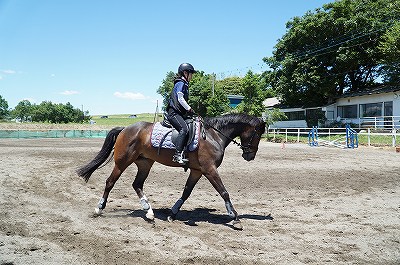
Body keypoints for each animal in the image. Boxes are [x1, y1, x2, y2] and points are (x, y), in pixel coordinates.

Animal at [77, 112, 266, 228]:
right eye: (257, 134)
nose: (250, 156)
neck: (214, 135)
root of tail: (125, 129)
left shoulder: (197, 171)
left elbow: (186, 192)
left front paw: (172, 214)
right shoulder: (209, 169)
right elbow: (224, 192)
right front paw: (235, 218)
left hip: (145, 163)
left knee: (137, 184)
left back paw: (149, 212)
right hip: (122, 162)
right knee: (110, 182)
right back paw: (99, 209)